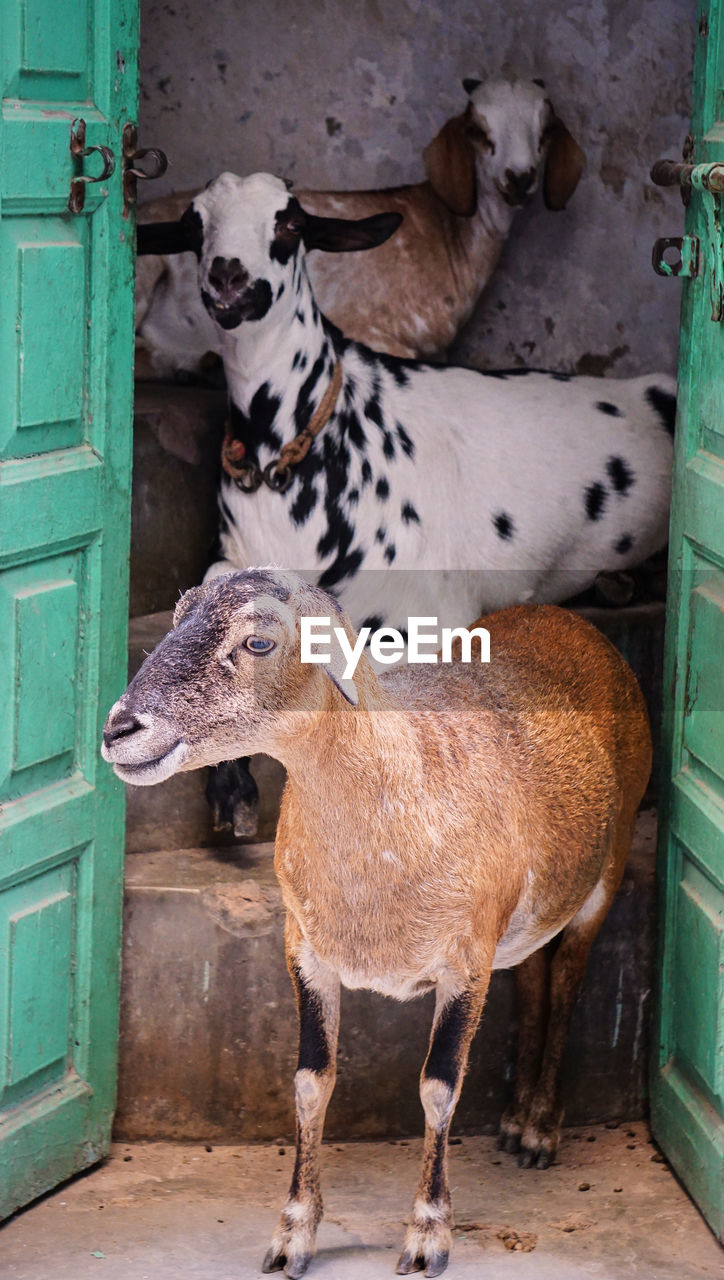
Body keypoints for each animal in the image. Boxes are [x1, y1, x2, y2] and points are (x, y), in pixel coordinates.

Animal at [102, 570, 652, 1280]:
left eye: (258, 641)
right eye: (177, 616)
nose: (119, 729)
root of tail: (566, 619)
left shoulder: (466, 960)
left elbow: (439, 1088)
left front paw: (427, 1236)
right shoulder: (305, 949)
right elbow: (311, 1083)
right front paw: (293, 1235)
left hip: (605, 872)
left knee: (567, 982)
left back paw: (538, 1129)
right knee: (534, 973)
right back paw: (511, 1120)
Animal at [158, 170, 675, 829]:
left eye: (290, 222)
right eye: (195, 224)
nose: (229, 275)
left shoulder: (426, 620)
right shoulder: (233, 555)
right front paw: (231, 790)